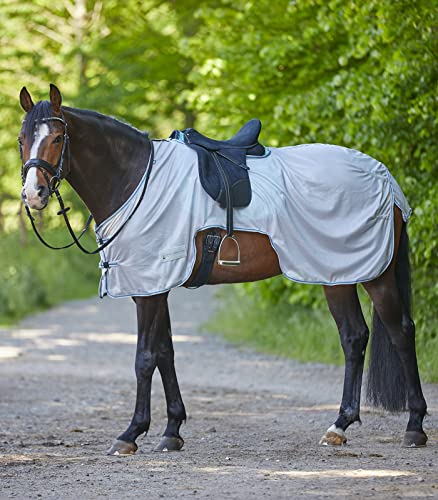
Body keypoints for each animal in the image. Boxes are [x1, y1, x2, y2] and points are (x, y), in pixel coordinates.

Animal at [18, 85, 428, 454]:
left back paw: (414, 426)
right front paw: (172, 431)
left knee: (401, 331)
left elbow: (145, 358)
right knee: (354, 338)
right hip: (336, 274)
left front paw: (131, 433)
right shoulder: (155, 287)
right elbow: (165, 353)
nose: (33, 194)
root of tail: (385, 177)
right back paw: (339, 426)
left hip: (375, 274)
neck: (136, 180)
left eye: (57, 138)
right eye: (22, 138)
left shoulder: (150, 288)